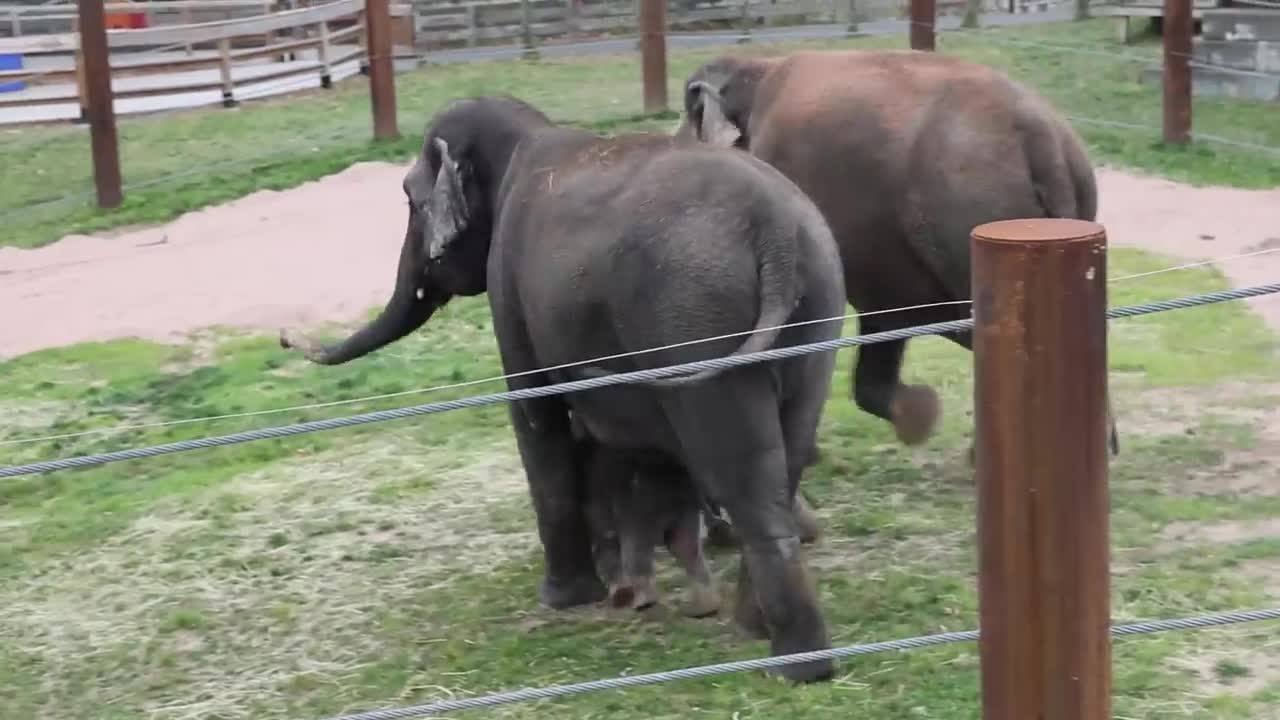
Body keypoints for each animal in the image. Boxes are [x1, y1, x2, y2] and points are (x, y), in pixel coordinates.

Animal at [275, 94, 844, 676]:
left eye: (411, 200)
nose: (283, 337)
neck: (527, 135)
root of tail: (775, 237)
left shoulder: (508, 284)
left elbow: (535, 412)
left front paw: (563, 599)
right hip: (816, 303)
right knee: (787, 455)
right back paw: (757, 630)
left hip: (695, 318)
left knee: (742, 477)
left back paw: (795, 665)